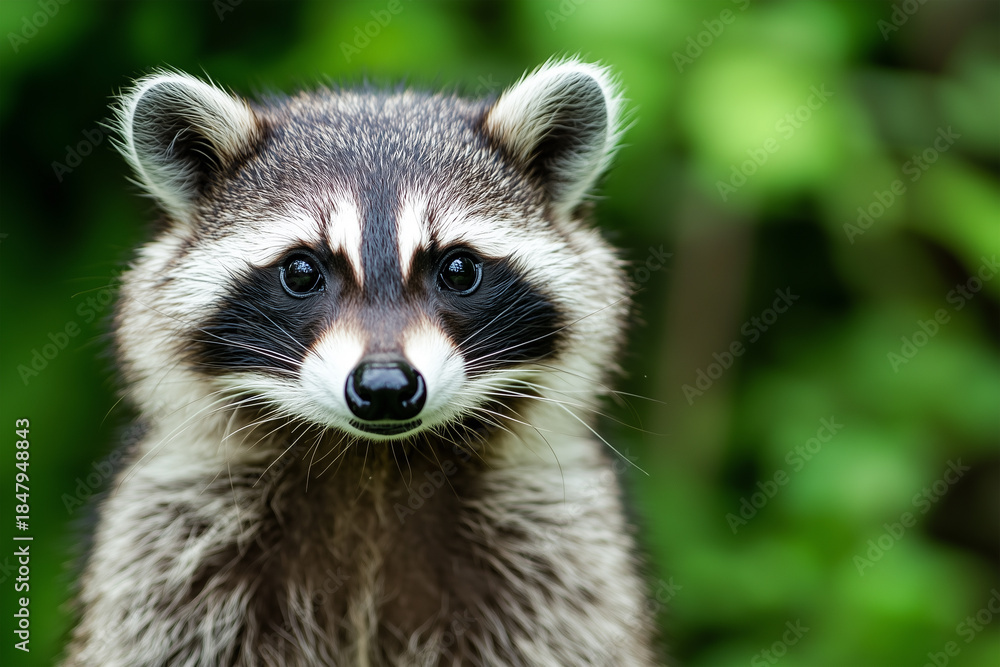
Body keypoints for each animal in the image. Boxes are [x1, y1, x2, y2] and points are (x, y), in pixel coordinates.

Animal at [65, 59, 659, 666]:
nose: (385, 386)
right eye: (301, 272)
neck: (373, 465)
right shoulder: (175, 535)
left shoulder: (553, 548)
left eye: (459, 269)